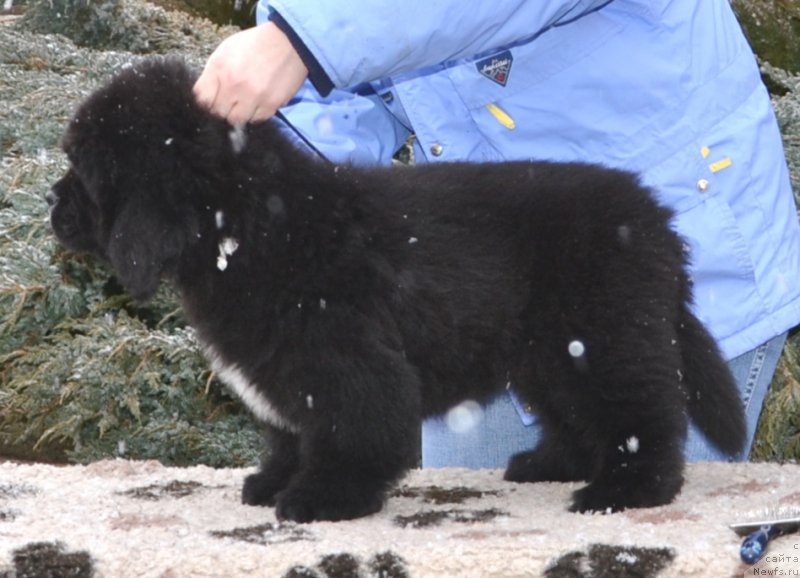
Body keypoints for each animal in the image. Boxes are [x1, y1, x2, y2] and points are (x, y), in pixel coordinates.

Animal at [50, 58, 748, 520]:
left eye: (85, 170)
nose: (51, 202)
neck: (248, 225)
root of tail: (657, 221)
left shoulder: (346, 360)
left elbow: (351, 432)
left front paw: (323, 498)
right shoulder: (285, 368)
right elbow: (289, 433)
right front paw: (274, 482)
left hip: (603, 338)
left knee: (643, 415)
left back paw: (626, 492)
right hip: (548, 354)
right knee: (577, 415)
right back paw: (550, 465)